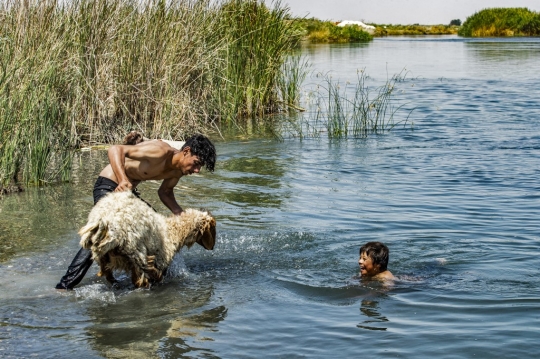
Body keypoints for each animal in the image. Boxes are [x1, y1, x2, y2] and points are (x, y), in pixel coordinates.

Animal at [79, 193, 216, 288]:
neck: (172, 232)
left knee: (110, 276)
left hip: (104, 257)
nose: (212, 247)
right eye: (213, 228)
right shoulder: (160, 259)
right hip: (136, 251)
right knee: (141, 280)